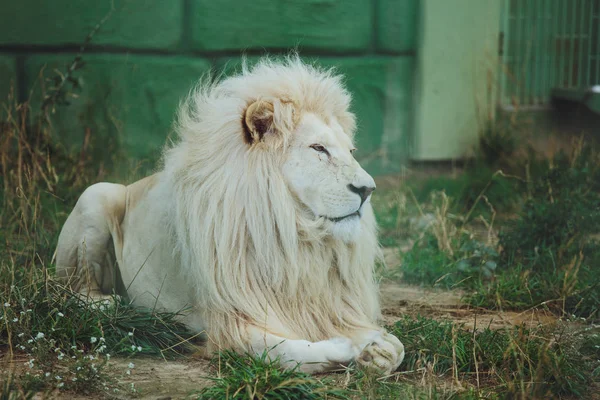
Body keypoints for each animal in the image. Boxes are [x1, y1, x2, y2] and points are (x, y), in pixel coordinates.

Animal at [55, 54, 404, 374]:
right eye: (319, 148)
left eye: (351, 152)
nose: (368, 189)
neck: (295, 236)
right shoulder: (227, 319)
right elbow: (284, 351)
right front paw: (345, 349)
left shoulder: (325, 306)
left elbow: (396, 347)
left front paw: (377, 348)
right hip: (95, 194)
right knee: (72, 291)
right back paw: (106, 303)